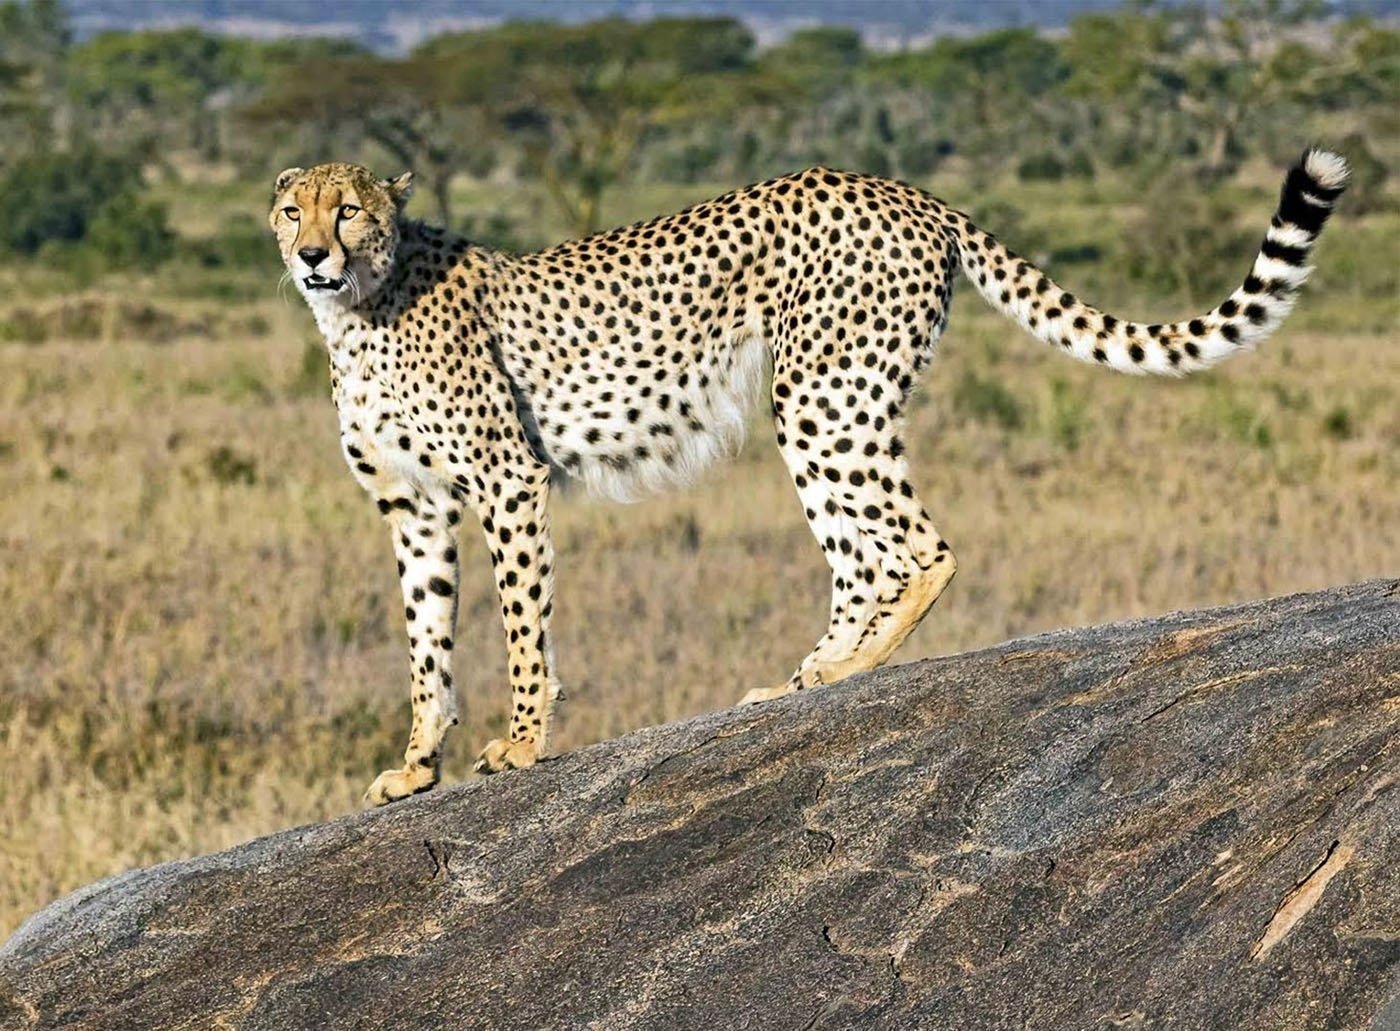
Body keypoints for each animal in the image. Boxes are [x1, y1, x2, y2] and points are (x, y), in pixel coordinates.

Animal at [268, 149, 1349, 805]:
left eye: (350, 211)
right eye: (291, 209)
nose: (312, 252)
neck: (361, 309)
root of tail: (899, 188)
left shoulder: (507, 482)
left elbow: (521, 627)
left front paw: (523, 743)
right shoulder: (412, 507)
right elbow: (427, 641)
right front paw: (416, 765)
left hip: (821, 395)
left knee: (921, 547)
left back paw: (847, 670)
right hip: (826, 406)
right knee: (861, 558)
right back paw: (803, 678)